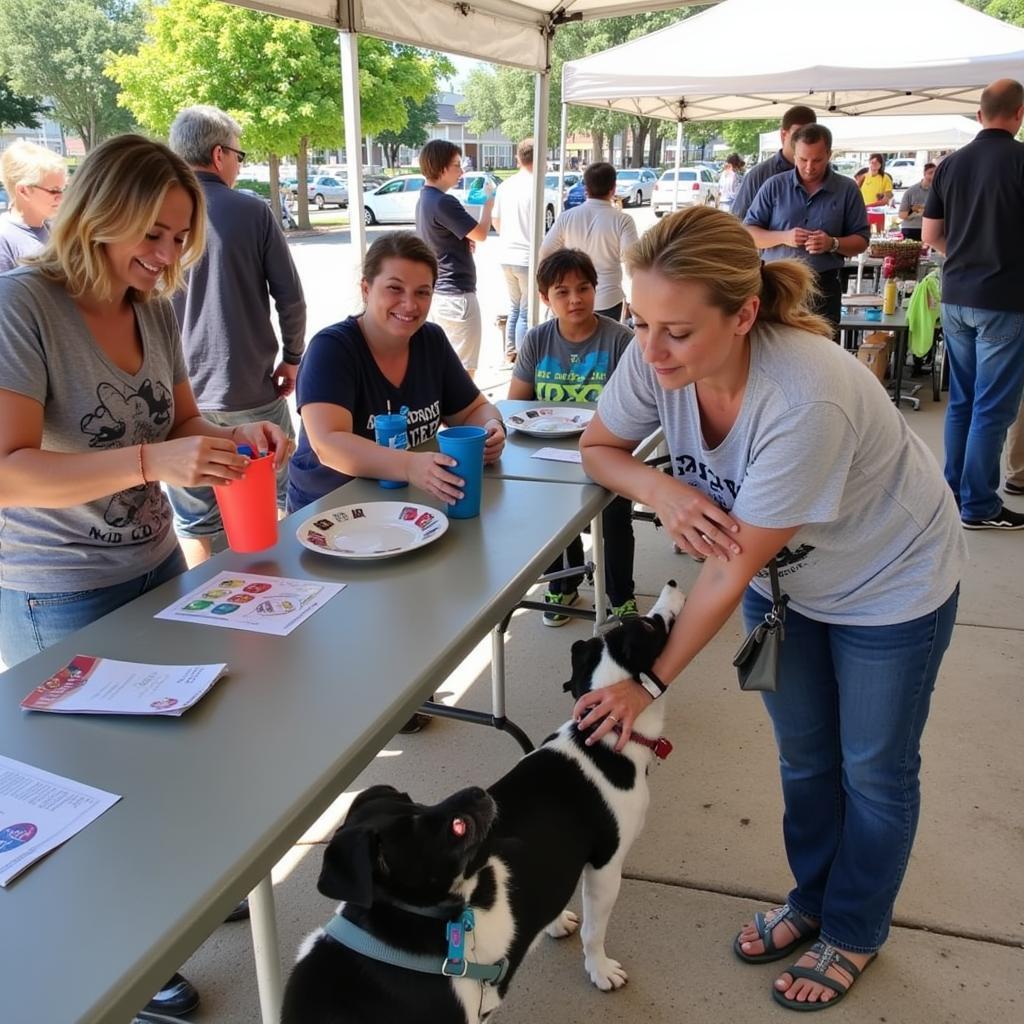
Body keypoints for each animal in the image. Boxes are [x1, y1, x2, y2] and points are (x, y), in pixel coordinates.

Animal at [278, 581, 688, 1019]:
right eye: (649, 624)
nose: (673, 584)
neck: (601, 742)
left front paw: (553, 923)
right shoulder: (606, 867)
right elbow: (595, 931)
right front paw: (600, 969)